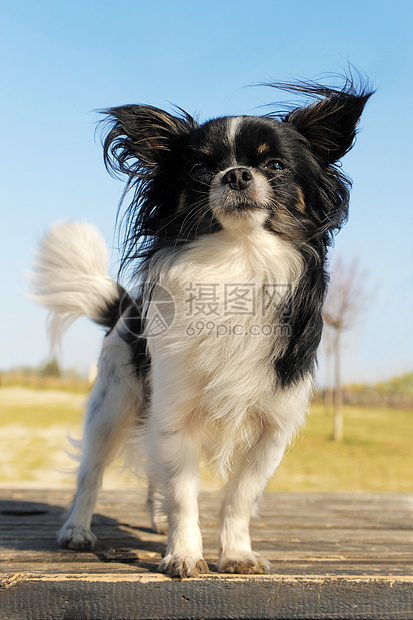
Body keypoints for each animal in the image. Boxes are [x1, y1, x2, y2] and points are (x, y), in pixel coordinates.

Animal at [32, 76, 372, 576]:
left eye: (274, 165)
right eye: (200, 169)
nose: (236, 174)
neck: (236, 262)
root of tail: (124, 308)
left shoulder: (272, 425)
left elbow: (239, 495)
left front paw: (234, 553)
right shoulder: (174, 415)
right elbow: (183, 492)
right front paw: (185, 553)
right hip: (113, 403)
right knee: (90, 471)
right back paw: (77, 529)